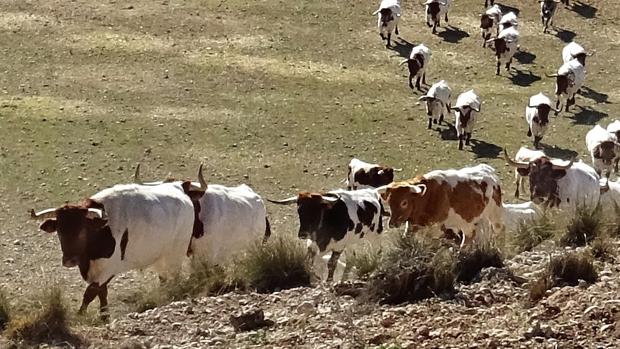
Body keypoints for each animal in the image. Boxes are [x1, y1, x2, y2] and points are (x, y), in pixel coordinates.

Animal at [29, 181, 193, 316]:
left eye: (82, 230)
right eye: (59, 231)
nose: (69, 260)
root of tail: (180, 190)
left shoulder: (108, 269)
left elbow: (90, 293)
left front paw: (80, 315)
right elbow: (102, 292)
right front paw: (104, 315)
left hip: (176, 254)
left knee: (174, 276)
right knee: (163, 277)